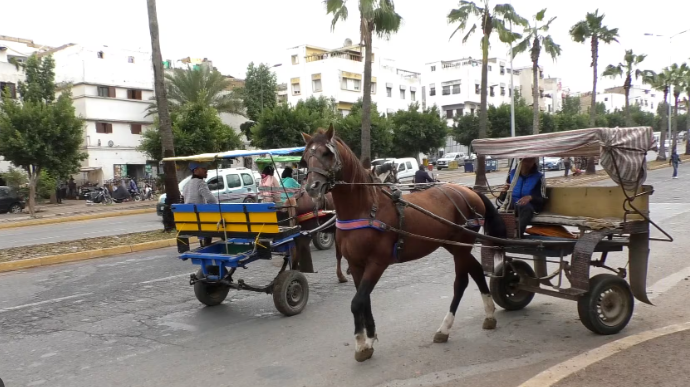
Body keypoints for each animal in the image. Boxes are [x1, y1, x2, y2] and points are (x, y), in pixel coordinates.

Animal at [300, 127, 506, 364]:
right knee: (477, 270)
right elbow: (364, 300)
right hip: (452, 244)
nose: (311, 187)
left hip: (462, 244)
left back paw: (445, 327)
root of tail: (470, 191)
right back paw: (489, 314)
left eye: (327, 153)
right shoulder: (355, 264)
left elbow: (357, 302)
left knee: (461, 282)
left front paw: (361, 344)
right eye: (305, 157)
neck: (366, 209)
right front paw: (369, 338)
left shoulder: (376, 263)